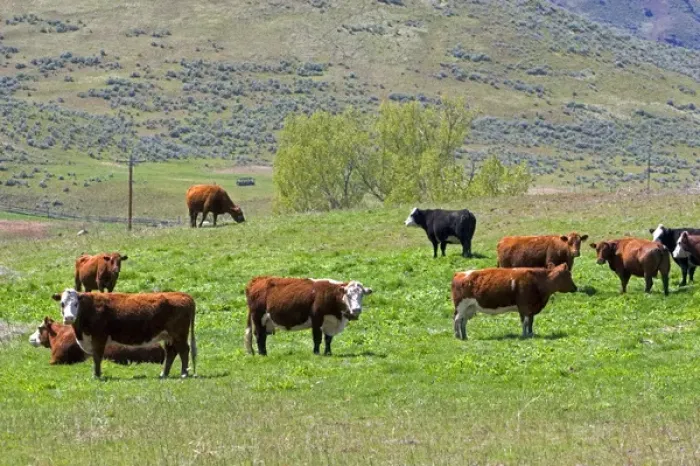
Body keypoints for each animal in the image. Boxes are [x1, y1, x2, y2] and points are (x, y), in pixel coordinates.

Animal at [51, 289, 197, 379]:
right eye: (62, 304)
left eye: (76, 304)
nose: (69, 318)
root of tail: (183, 295)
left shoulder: (99, 337)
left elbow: (97, 357)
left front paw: (97, 375)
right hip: (168, 336)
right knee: (171, 352)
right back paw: (164, 374)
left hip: (179, 334)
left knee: (184, 350)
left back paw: (184, 373)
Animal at [244, 277, 373, 356]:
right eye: (349, 295)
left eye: (362, 295)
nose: (356, 310)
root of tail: (258, 279)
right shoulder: (316, 319)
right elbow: (317, 338)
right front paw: (316, 353)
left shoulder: (330, 322)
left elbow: (328, 339)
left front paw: (328, 353)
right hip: (258, 317)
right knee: (260, 336)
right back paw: (262, 354)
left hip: (265, 320)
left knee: (262, 336)